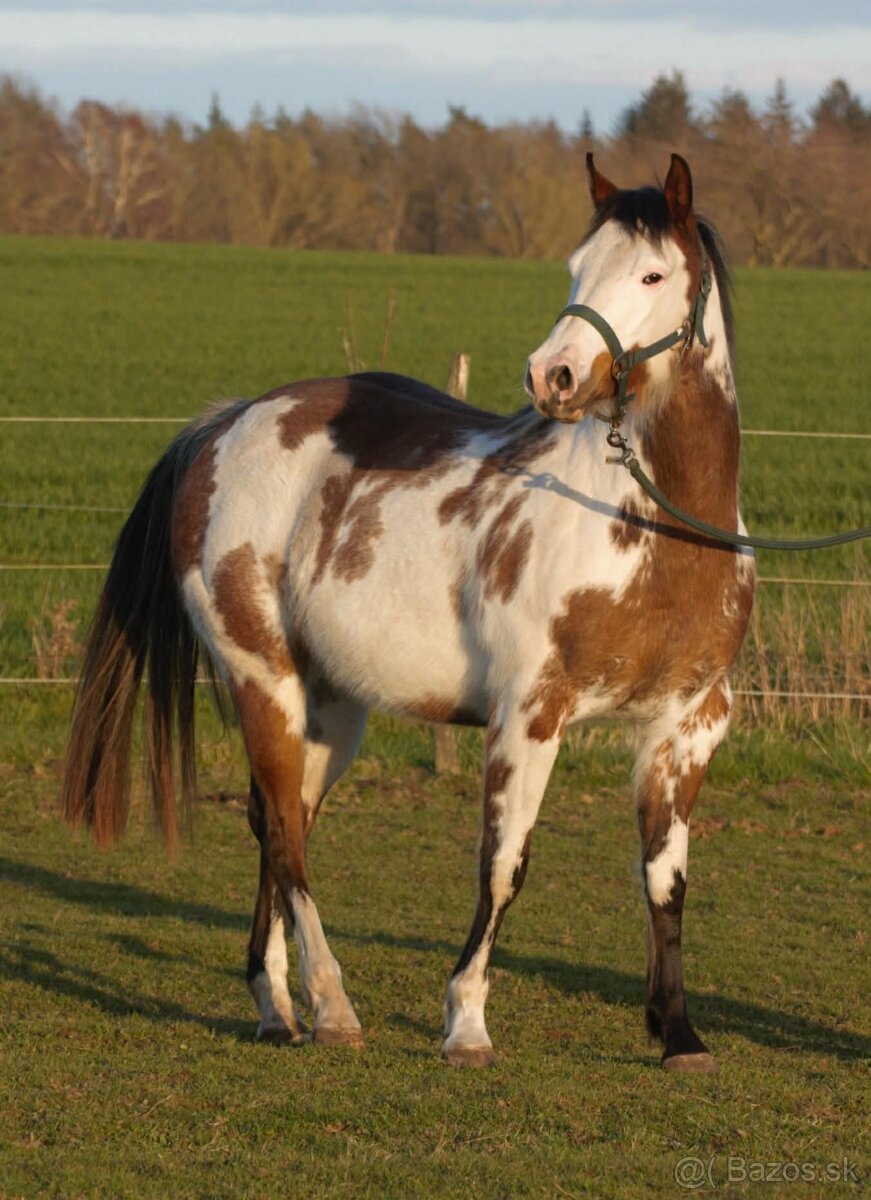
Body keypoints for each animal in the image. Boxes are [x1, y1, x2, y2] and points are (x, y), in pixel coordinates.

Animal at [61, 152, 755, 1072]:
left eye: (650, 273)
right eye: (576, 267)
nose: (553, 376)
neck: (651, 529)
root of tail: (226, 424)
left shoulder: (687, 726)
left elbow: (664, 879)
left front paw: (677, 1034)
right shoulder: (528, 716)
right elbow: (503, 865)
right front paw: (465, 1022)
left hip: (330, 709)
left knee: (279, 828)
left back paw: (276, 1007)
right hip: (262, 681)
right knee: (285, 835)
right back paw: (332, 1007)